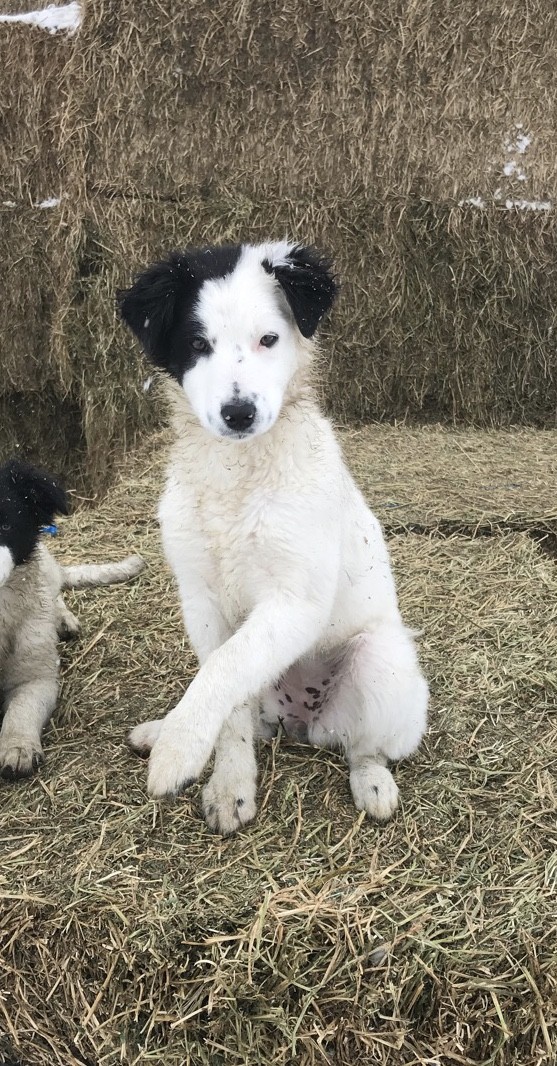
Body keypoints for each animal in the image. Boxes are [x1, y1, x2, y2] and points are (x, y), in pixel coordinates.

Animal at [119, 241, 430, 831]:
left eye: (269, 339)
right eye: (198, 344)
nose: (238, 414)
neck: (236, 476)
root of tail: (300, 720)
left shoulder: (295, 600)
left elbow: (225, 667)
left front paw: (182, 749)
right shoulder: (201, 598)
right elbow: (225, 687)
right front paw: (229, 782)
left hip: (381, 664)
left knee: (364, 745)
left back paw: (373, 781)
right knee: (256, 715)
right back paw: (163, 728)